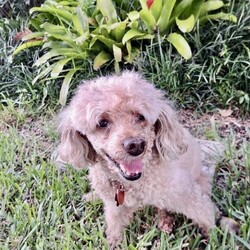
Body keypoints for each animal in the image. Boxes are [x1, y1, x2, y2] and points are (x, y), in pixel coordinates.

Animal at [56, 71, 219, 247]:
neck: (130, 184)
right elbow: (114, 224)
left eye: (140, 117)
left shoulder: (186, 194)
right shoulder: (114, 206)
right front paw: (114, 242)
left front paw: (216, 236)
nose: (136, 145)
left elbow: (204, 214)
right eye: (102, 122)